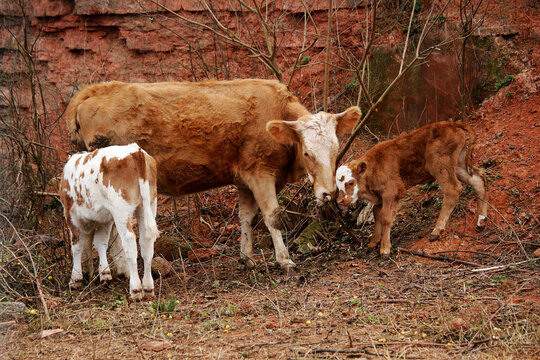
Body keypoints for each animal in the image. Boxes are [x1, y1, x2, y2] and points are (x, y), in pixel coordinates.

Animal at [65, 79, 360, 270]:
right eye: (308, 153)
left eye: (336, 149)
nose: (328, 193)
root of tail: (96, 90)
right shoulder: (261, 172)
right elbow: (272, 217)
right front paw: (284, 260)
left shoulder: (245, 179)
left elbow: (247, 218)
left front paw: (247, 258)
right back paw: (122, 268)